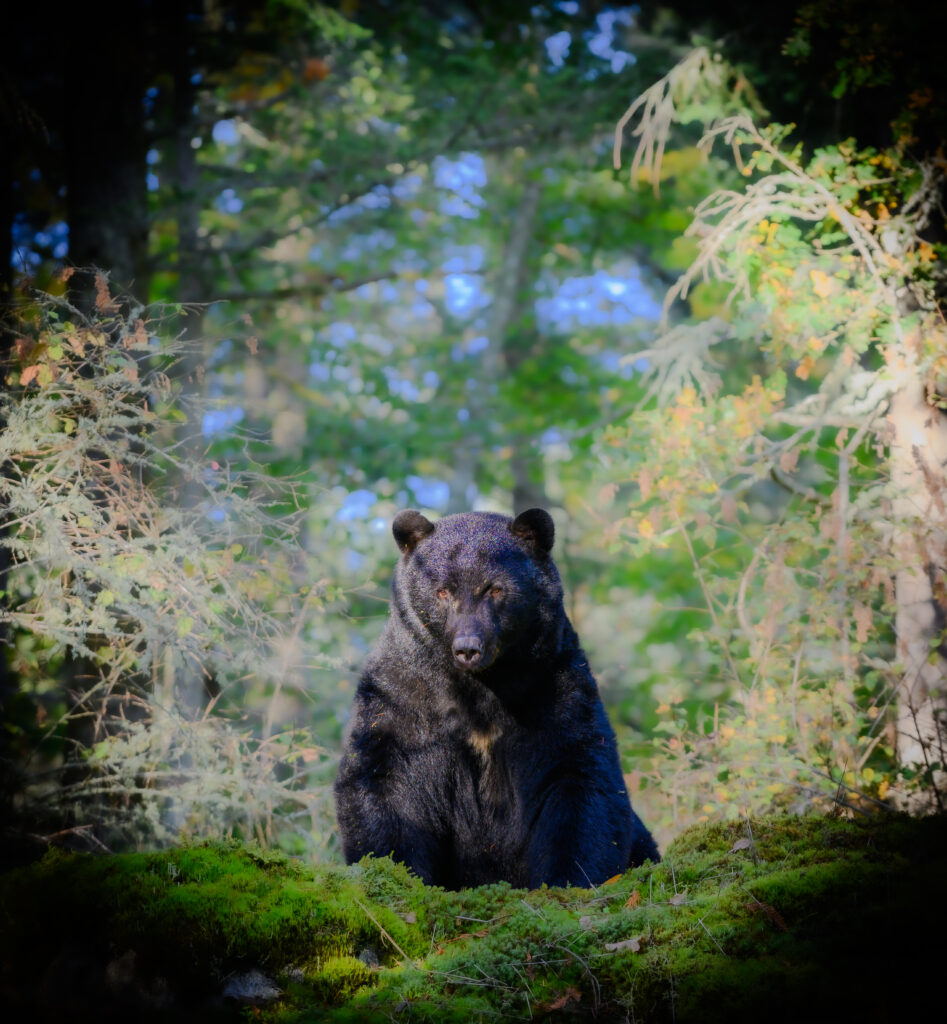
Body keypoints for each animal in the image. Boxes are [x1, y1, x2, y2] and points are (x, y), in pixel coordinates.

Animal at [334, 507, 659, 889]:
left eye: (495, 588)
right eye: (442, 591)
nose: (468, 647)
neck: (483, 686)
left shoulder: (555, 688)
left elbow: (578, 777)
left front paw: (571, 877)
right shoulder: (402, 695)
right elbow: (383, 777)